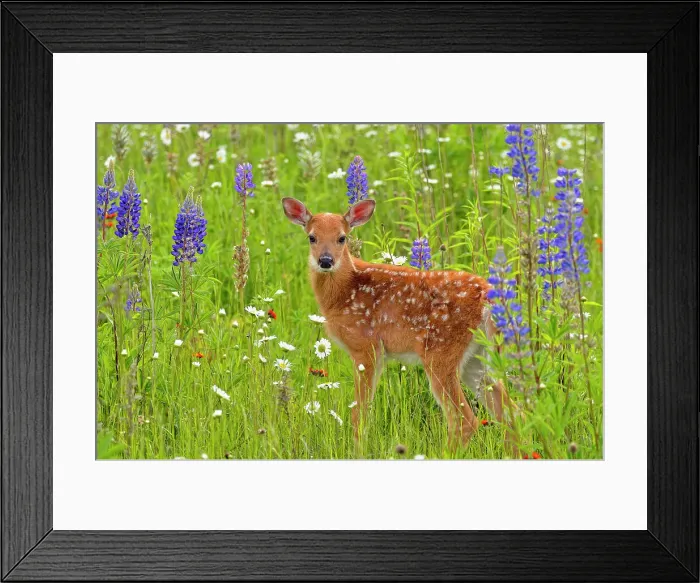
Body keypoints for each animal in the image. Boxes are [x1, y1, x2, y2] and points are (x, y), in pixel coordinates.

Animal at [282, 197, 520, 456]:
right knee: (512, 412)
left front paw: (358, 451)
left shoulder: (366, 346)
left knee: (464, 420)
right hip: (477, 358)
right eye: (311, 237)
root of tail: (487, 294)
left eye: (342, 237)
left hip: (441, 353)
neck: (345, 292)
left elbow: (360, 413)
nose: (325, 261)